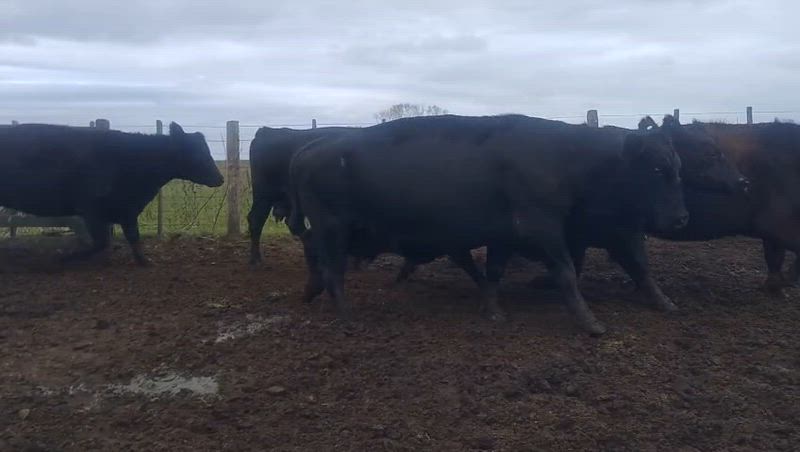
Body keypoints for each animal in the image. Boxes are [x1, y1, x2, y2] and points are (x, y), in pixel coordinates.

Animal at [0, 122, 224, 264]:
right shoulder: (92, 211)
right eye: (198, 154)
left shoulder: (128, 210)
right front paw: (66, 257)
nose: (220, 179)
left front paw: (145, 261)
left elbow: (133, 237)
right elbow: (101, 243)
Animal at [288, 114, 689, 335]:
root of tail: (309, 148)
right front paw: (590, 322)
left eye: (677, 167)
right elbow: (566, 273)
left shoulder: (504, 236)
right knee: (333, 269)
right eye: (657, 168)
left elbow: (493, 273)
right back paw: (346, 316)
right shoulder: (543, 228)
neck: (567, 158)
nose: (681, 218)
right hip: (333, 230)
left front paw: (493, 310)